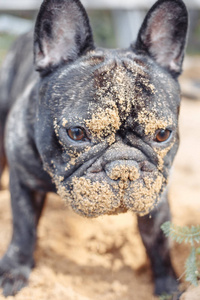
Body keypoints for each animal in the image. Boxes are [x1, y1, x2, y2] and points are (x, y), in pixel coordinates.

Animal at [0, 0, 188, 296]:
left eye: (162, 134)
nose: (124, 169)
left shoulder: (157, 194)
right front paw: (14, 271)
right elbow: (23, 228)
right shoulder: (23, 182)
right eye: (77, 133)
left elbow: (158, 240)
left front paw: (168, 284)